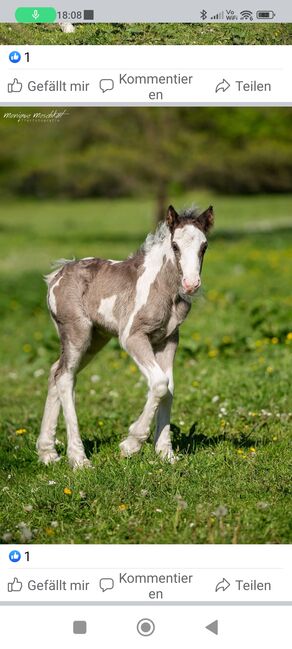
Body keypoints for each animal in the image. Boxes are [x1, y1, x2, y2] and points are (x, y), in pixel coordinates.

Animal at [36, 204, 214, 466]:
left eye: (204, 246)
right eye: (175, 246)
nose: (191, 284)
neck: (163, 290)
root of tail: (57, 275)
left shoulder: (169, 340)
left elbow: (169, 389)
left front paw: (166, 453)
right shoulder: (132, 337)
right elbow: (159, 384)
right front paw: (130, 445)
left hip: (96, 339)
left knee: (55, 371)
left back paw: (47, 452)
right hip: (77, 333)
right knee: (65, 377)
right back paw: (78, 459)